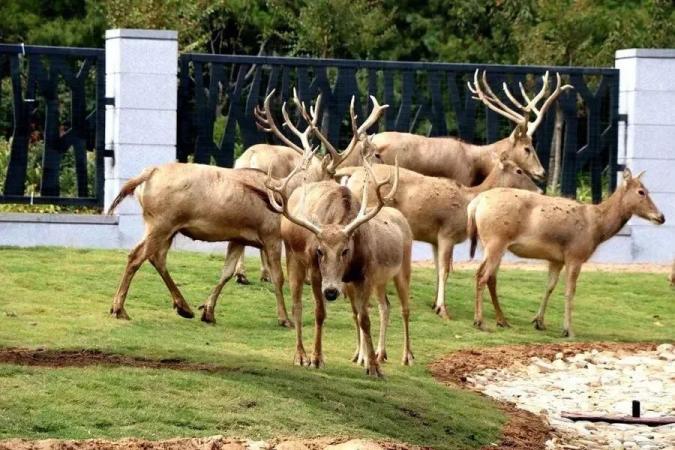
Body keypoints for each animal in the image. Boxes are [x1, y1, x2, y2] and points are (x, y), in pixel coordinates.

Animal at [266, 103, 414, 378]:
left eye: (346, 250)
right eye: (319, 251)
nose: (332, 291)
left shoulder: (364, 275)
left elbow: (364, 318)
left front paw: (373, 366)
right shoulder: (317, 271)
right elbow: (320, 312)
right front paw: (316, 358)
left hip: (401, 270)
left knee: (401, 307)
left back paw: (405, 356)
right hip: (293, 258)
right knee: (297, 304)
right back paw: (301, 354)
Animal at [340, 152, 540, 320]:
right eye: (519, 170)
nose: (539, 190)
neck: (468, 203)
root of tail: (353, 174)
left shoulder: (435, 239)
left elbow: (437, 269)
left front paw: (434, 304)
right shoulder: (447, 233)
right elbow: (445, 270)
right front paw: (443, 309)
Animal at [468, 169, 668, 338]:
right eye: (641, 191)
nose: (661, 217)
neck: (597, 228)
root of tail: (475, 204)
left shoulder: (556, 259)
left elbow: (549, 286)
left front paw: (539, 322)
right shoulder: (575, 254)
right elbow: (569, 292)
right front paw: (568, 330)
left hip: (490, 244)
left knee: (486, 275)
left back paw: (502, 321)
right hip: (496, 239)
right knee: (483, 276)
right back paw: (480, 321)